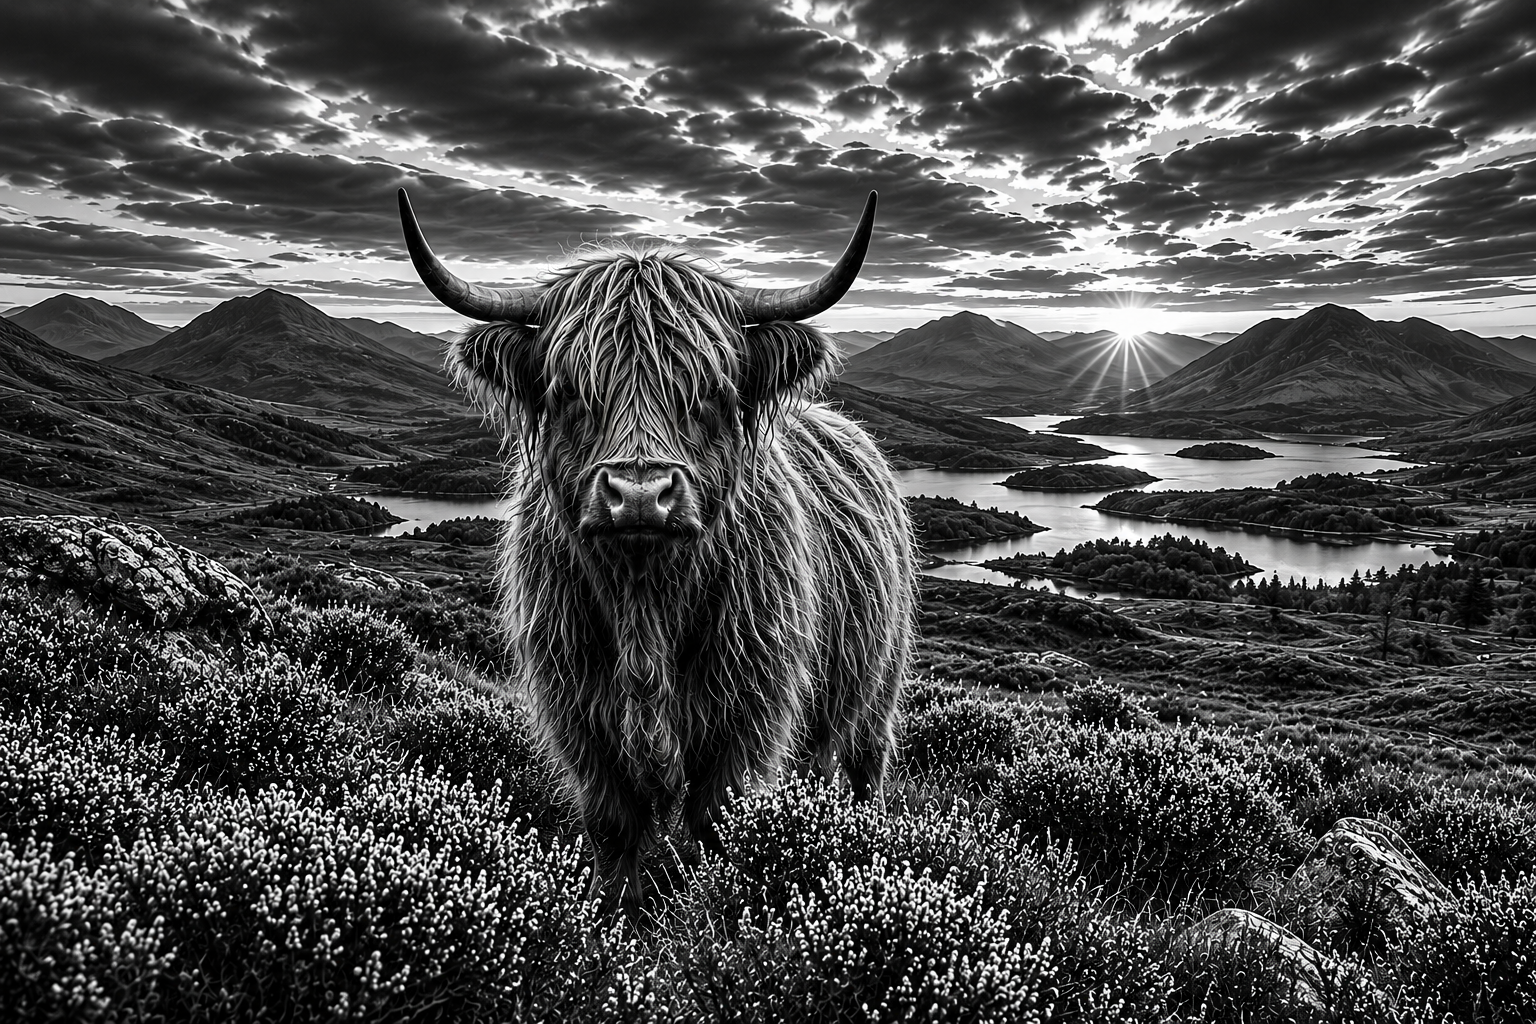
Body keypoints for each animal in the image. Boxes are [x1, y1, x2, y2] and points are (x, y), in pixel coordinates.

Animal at [397, 188, 914, 902]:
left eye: (710, 392)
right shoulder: (580, 720)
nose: (640, 494)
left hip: (878, 689)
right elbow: (614, 828)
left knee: (864, 766)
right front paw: (614, 910)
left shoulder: (744, 720)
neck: (645, 608)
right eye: (570, 391)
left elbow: (717, 827)